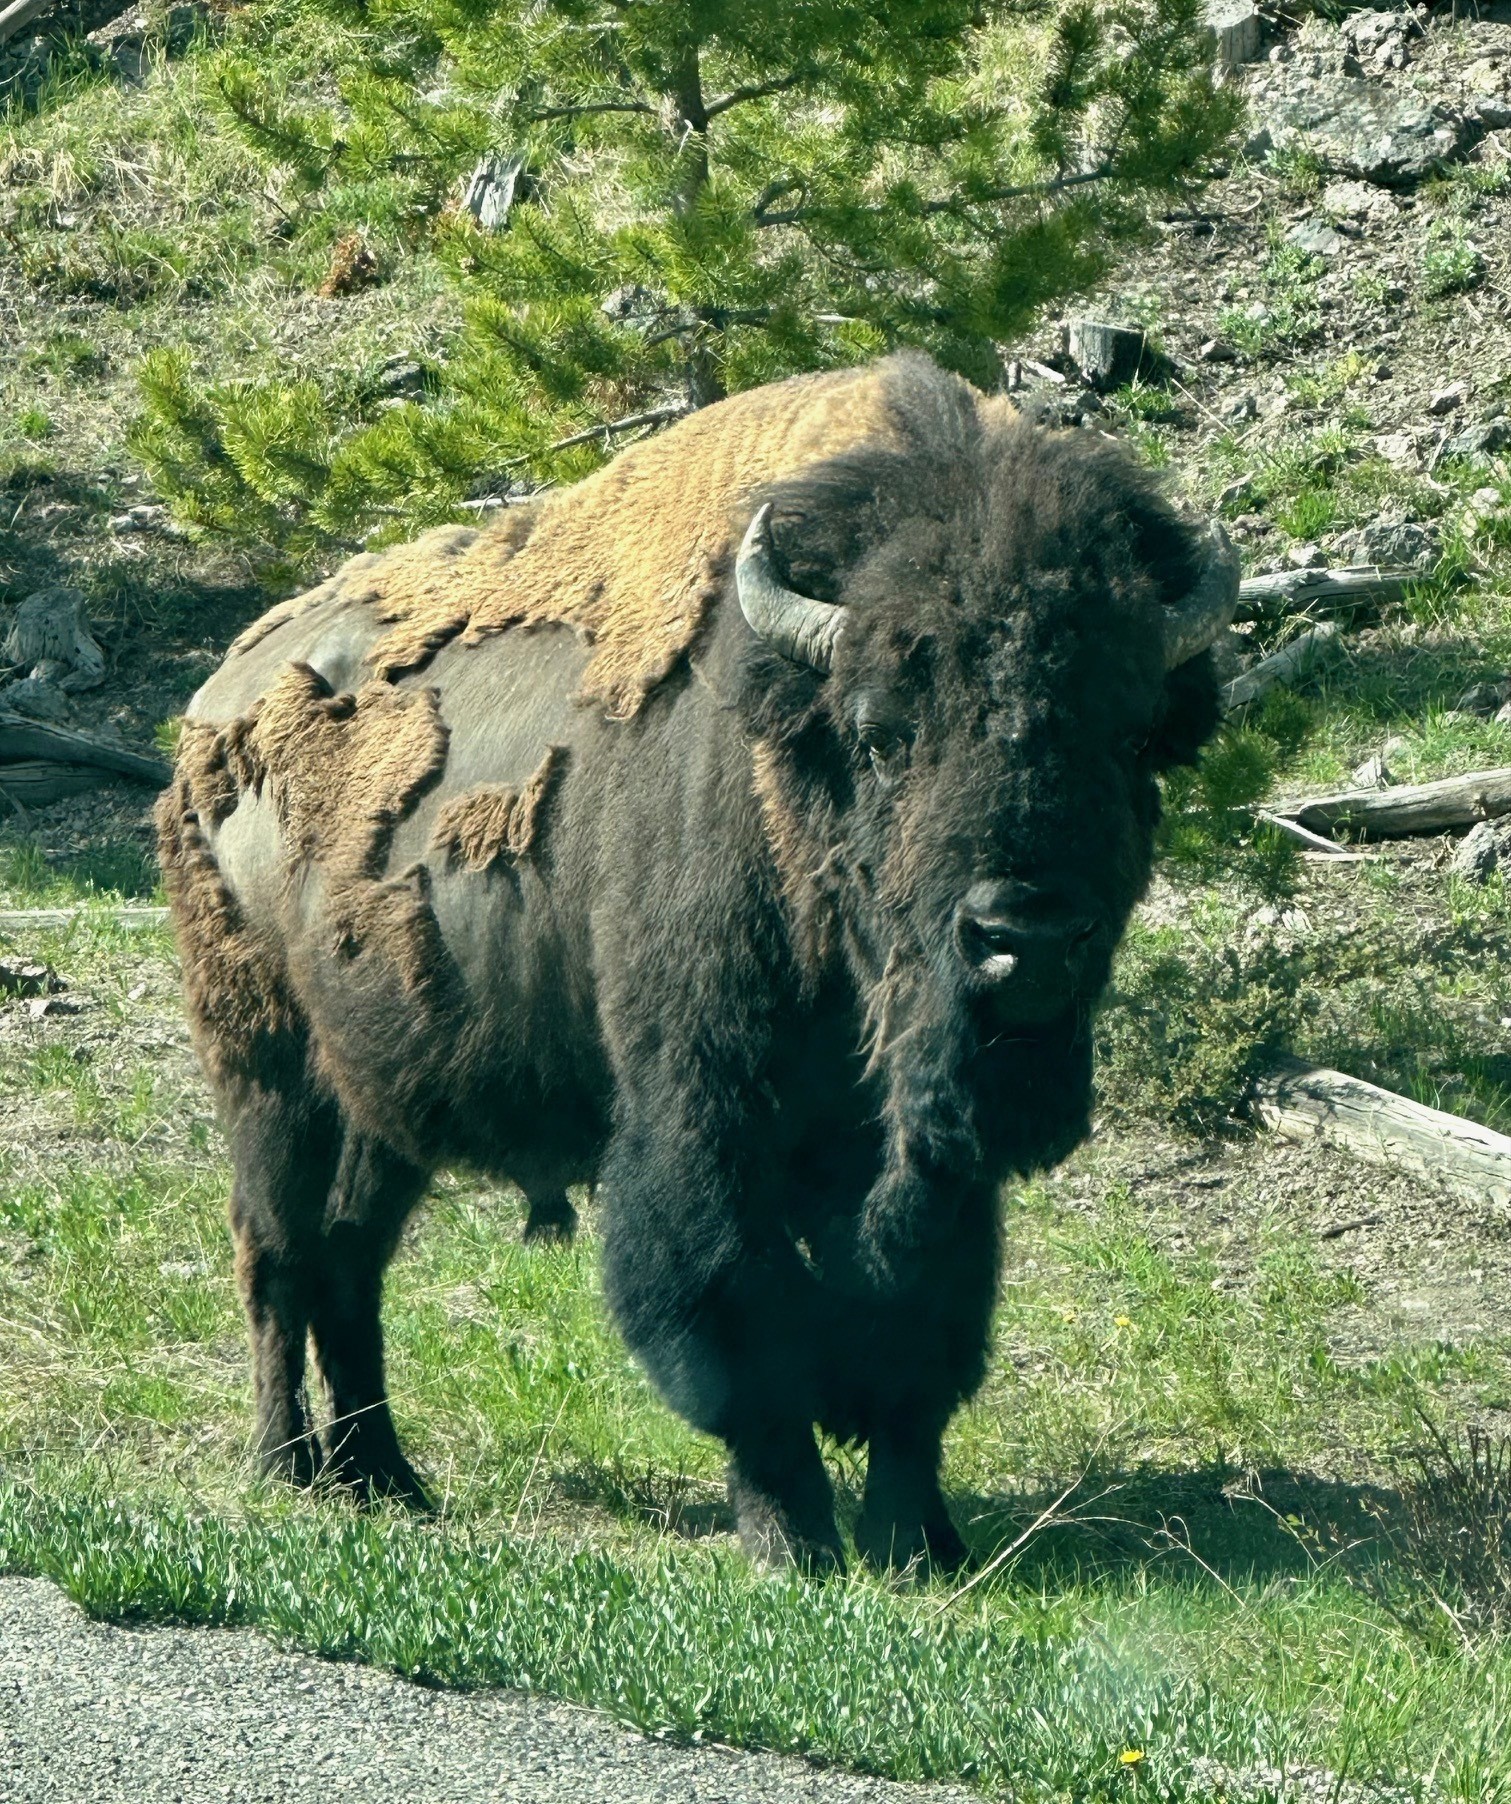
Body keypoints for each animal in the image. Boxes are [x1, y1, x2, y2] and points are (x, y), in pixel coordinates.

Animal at [159, 352, 1235, 1571]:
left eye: (1131, 734)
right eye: (882, 731)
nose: (1027, 936)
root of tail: (214, 704)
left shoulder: (924, 1161)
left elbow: (920, 1328)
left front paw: (920, 1542)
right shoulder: (701, 1115)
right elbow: (734, 1319)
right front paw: (792, 1541)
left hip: (380, 1099)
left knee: (349, 1260)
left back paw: (387, 1480)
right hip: (267, 1067)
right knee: (277, 1252)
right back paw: (285, 1466)